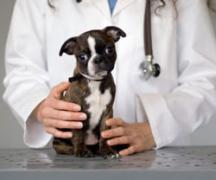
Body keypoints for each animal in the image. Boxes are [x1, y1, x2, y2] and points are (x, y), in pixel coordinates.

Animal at [52, 26, 126, 158]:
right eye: (82, 57)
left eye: (109, 49)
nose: (97, 59)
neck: (95, 82)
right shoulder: (76, 114)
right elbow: (78, 134)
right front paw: (81, 150)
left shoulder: (107, 112)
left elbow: (104, 133)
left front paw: (107, 150)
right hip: (59, 140)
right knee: (64, 147)